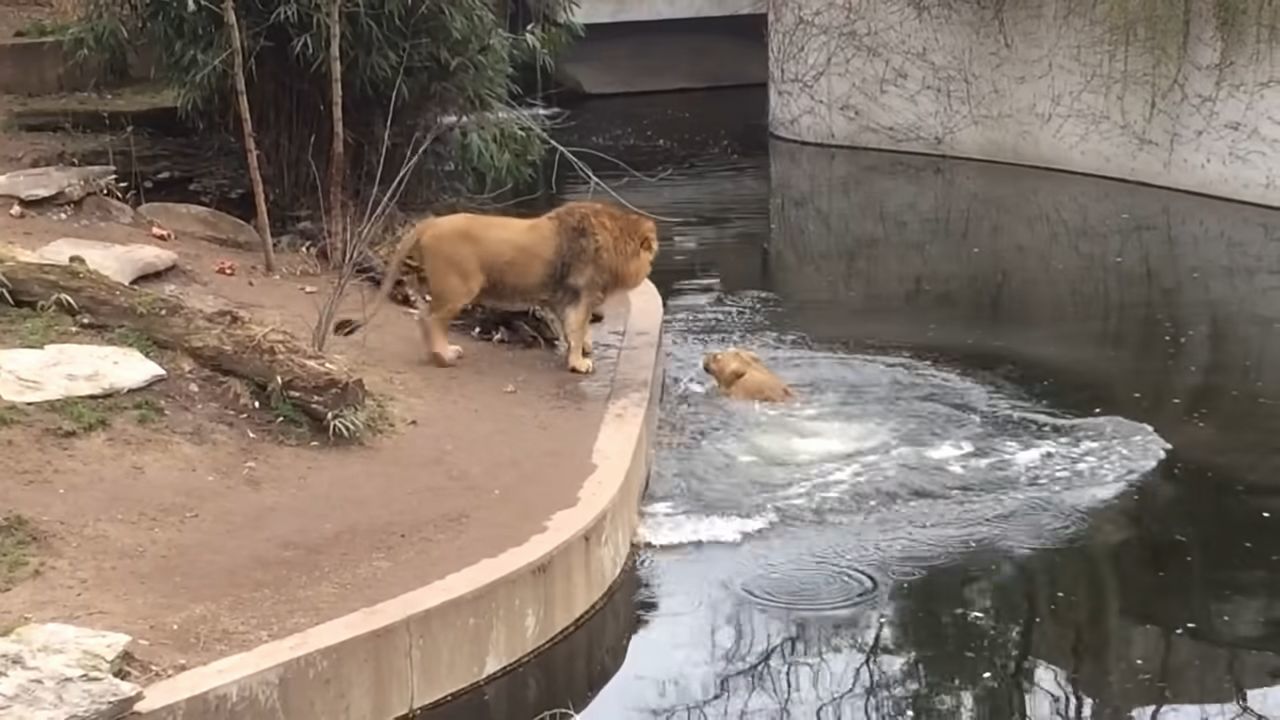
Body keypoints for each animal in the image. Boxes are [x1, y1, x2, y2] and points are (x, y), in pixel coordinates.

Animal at [330, 198, 660, 371]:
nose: (652, 264)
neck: (614, 240)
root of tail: (430, 222)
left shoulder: (560, 296)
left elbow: (571, 327)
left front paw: (582, 349)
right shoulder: (581, 293)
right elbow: (577, 328)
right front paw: (579, 363)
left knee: (424, 316)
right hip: (459, 289)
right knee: (429, 319)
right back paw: (444, 356)